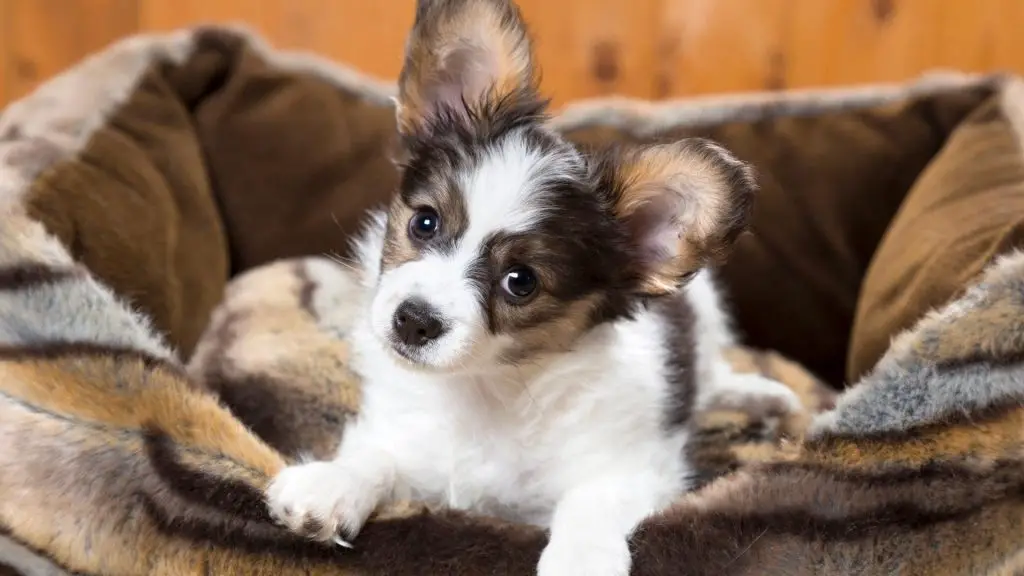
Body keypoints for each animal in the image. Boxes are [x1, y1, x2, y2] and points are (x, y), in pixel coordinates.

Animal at [268, 2, 802, 569]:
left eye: (520, 282)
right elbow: (377, 455)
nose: (412, 320)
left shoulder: (632, 468)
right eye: (425, 223)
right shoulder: (405, 433)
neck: (485, 392)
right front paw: (331, 484)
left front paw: (580, 560)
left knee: (713, 377)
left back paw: (766, 398)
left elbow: (588, 505)